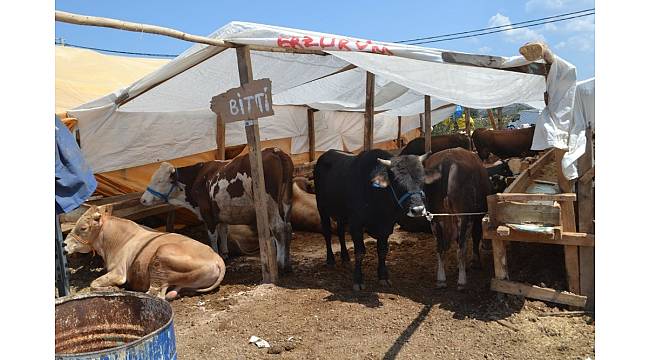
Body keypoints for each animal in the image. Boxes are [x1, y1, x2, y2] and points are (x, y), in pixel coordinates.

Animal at [63, 205, 225, 300]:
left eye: (83, 228)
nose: (64, 244)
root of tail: (217, 259)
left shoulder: (118, 273)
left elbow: (93, 283)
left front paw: (112, 288)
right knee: (171, 293)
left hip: (161, 258)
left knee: (156, 294)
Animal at [143, 148, 294, 272]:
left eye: (160, 181)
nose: (143, 200)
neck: (197, 178)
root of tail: (274, 151)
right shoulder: (221, 212)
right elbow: (223, 230)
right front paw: (225, 253)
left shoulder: (207, 213)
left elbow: (213, 236)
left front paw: (216, 255)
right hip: (285, 202)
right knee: (287, 227)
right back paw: (287, 261)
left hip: (270, 204)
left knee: (279, 228)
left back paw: (280, 264)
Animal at [314, 148, 430, 292]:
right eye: (397, 182)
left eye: (422, 180)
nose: (418, 210)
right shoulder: (356, 225)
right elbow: (360, 252)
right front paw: (358, 280)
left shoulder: (386, 227)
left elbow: (382, 251)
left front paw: (383, 276)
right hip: (322, 208)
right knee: (327, 233)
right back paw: (330, 260)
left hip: (341, 214)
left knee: (340, 232)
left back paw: (345, 257)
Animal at [420, 148, 492, 292]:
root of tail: (447, 161)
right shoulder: (476, 217)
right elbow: (475, 238)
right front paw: (475, 262)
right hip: (464, 216)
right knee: (461, 248)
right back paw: (462, 282)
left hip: (435, 219)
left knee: (440, 248)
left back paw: (441, 280)